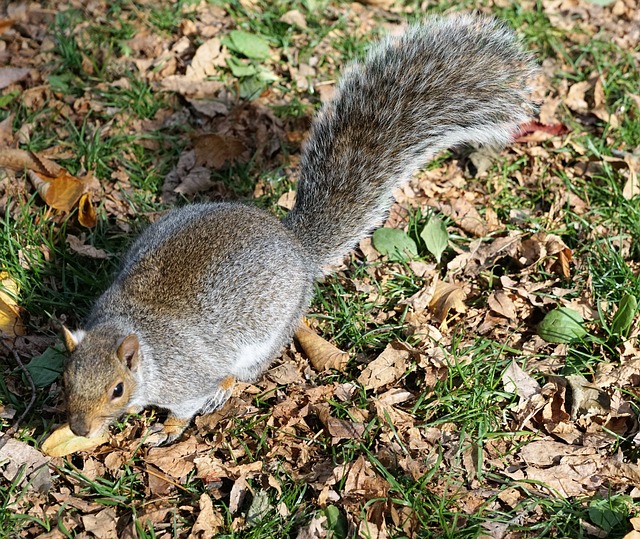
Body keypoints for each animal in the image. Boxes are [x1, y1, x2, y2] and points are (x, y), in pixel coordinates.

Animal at [62, 12, 536, 446]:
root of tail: (295, 244)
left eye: (117, 389)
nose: (78, 429)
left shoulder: (187, 377)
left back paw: (225, 389)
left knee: (244, 372)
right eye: (65, 379)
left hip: (269, 332)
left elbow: (185, 406)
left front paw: (167, 429)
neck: (139, 340)